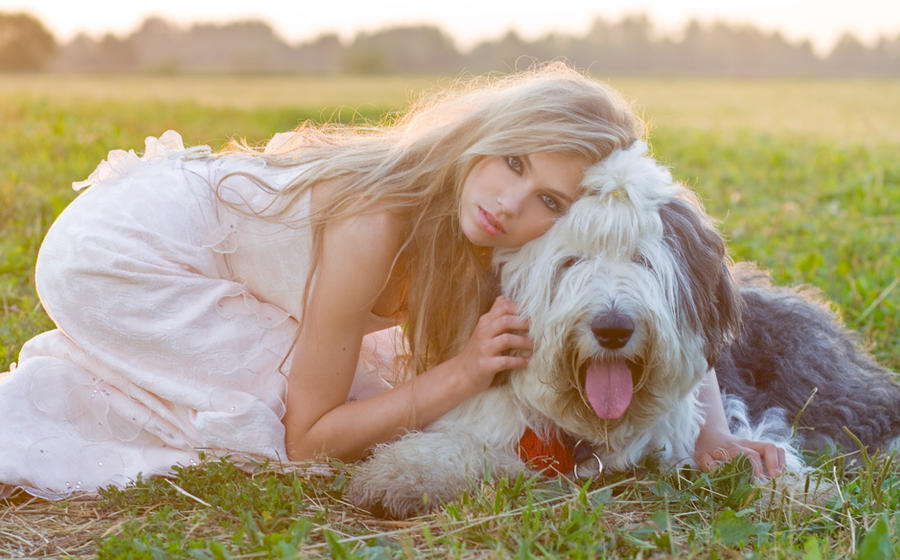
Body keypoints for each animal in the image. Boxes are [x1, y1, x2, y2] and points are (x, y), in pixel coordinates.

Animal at [346, 142, 900, 520]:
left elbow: (747, 451)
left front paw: (792, 491)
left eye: (643, 261)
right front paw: (403, 472)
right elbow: (461, 443)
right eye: (570, 262)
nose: (612, 327)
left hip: (819, 383)